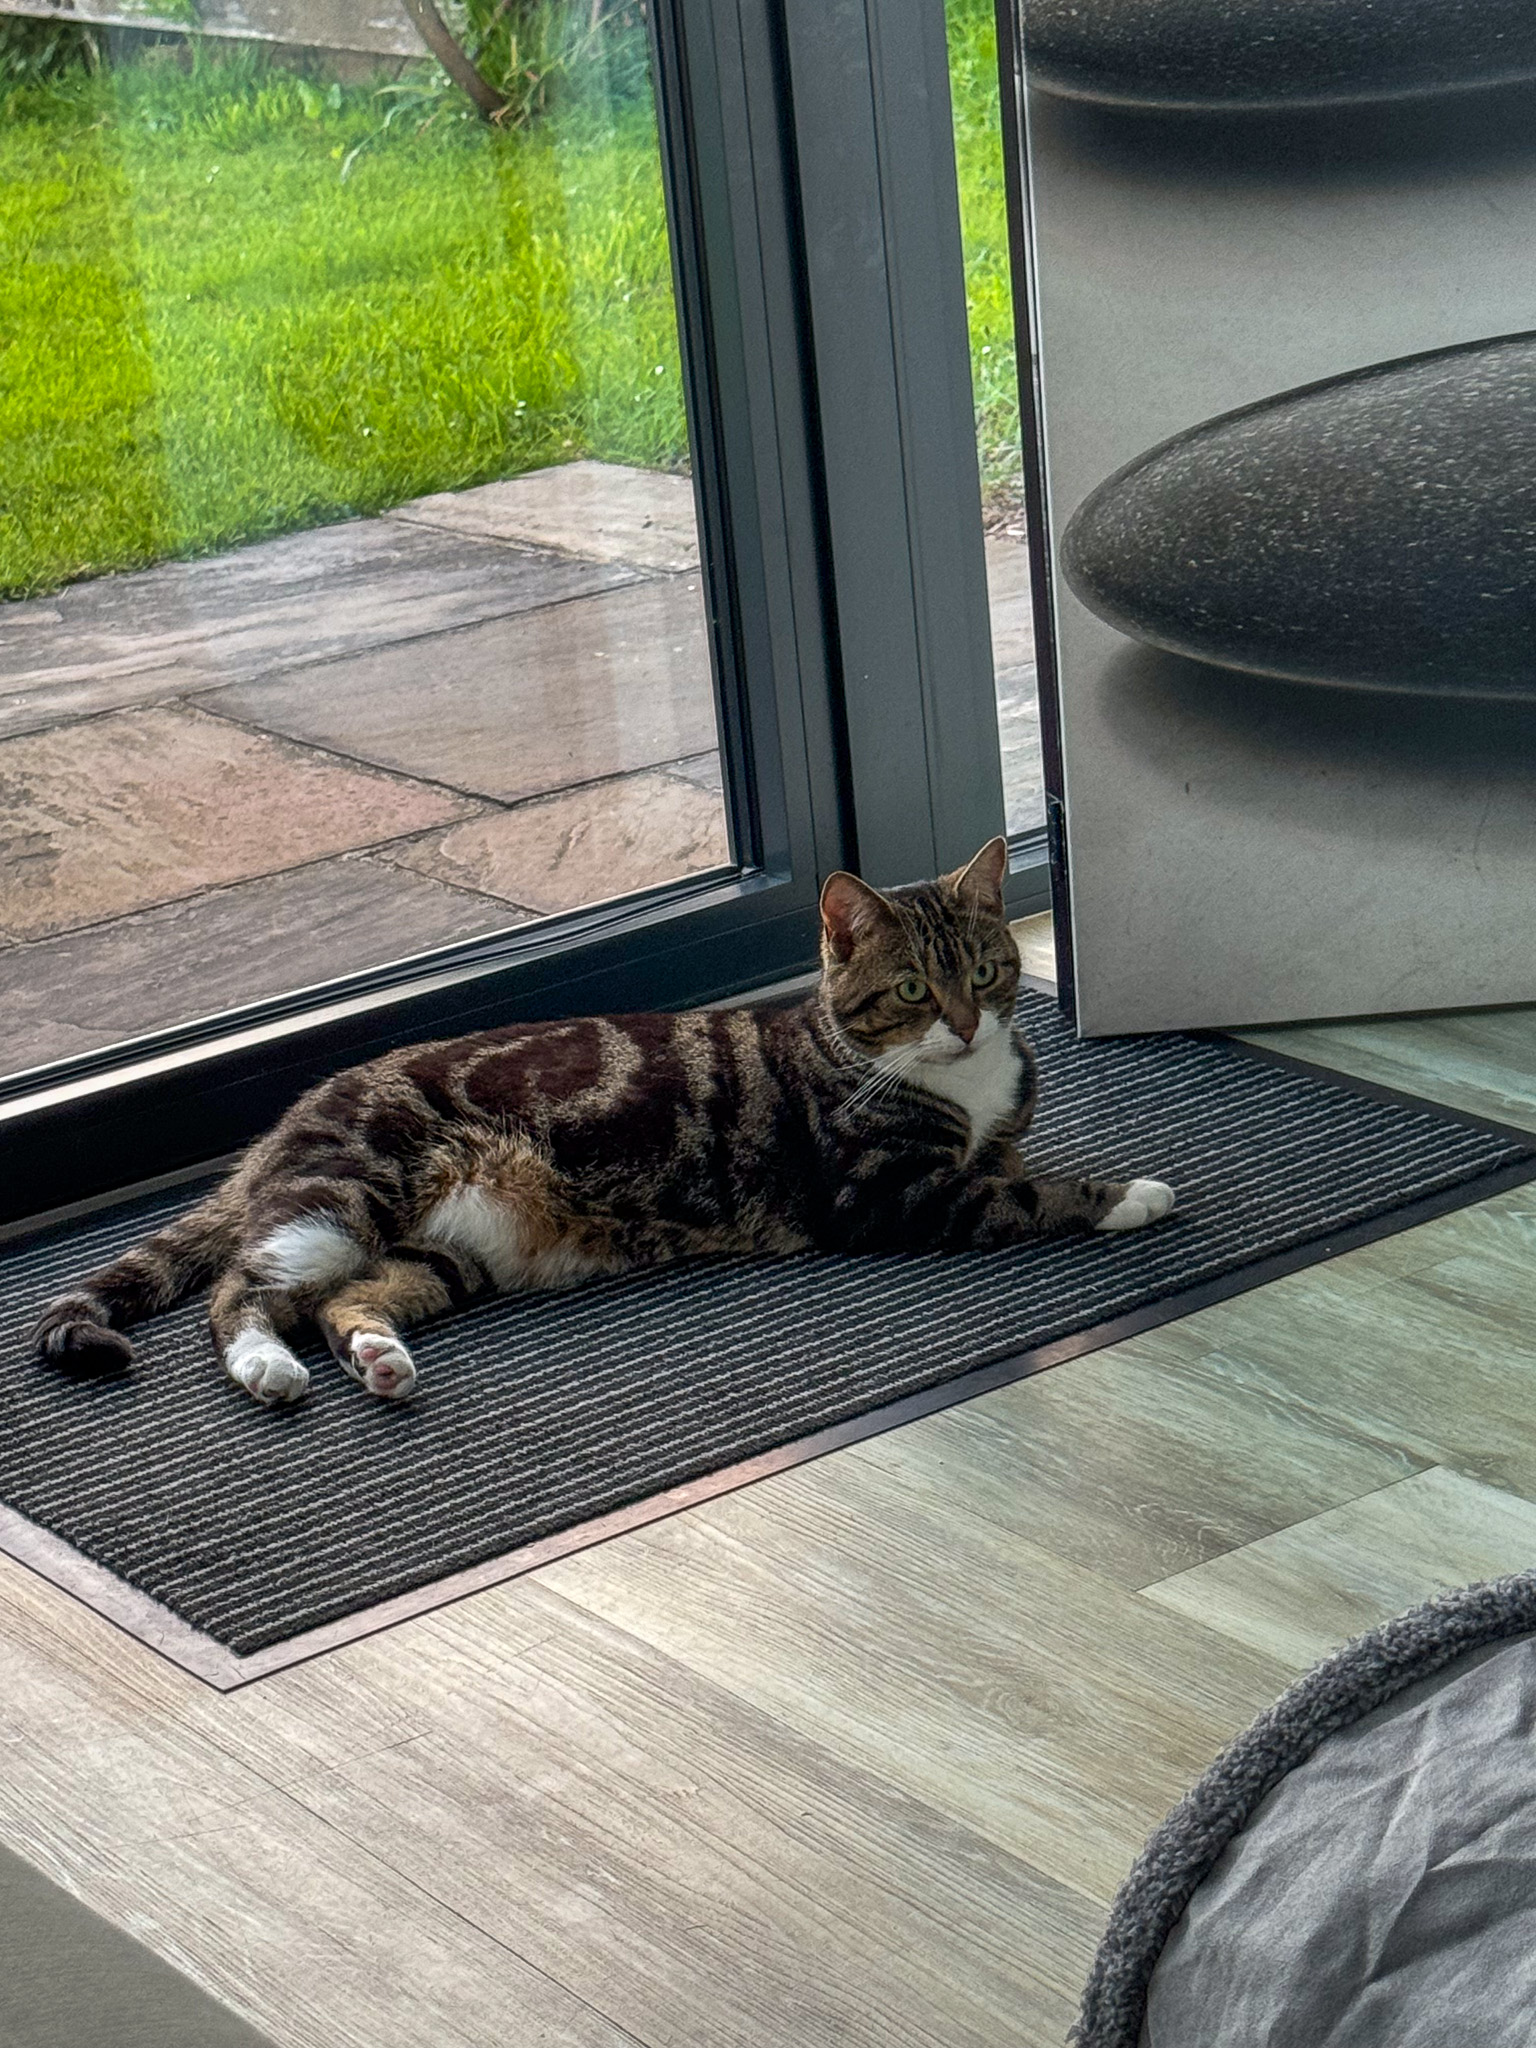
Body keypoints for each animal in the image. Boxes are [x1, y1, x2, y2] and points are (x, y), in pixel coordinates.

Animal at [36, 835, 1179, 1409]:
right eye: (908, 989)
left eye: (985, 971)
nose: (965, 1020)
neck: (961, 1081)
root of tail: (283, 1122)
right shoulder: (888, 1193)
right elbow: (1026, 1189)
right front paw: (1131, 1192)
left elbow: (1016, 1162)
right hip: (344, 1195)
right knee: (239, 1291)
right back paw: (267, 1367)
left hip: (454, 1253)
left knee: (348, 1299)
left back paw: (380, 1361)